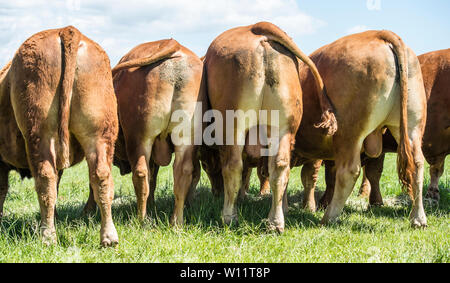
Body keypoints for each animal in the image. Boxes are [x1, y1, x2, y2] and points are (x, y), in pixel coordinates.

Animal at [0, 26, 119, 246]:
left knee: (45, 180)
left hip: (40, 134)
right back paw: (109, 238)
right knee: (101, 177)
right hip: (99, 134)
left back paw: (48, 236)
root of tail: (65, 31)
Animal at [84, 38, 204, 226]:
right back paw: (176, 221)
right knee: (182, 173)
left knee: (140, 174)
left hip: (139, 139)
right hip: (185, 138)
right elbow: (153, 179)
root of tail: (174, 45)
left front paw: (88, 209)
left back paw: (141, 218)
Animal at [202, 21, 336, 232]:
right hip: (283, 128)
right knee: (279, 168)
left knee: (233, 166)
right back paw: (275, 222)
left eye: (206, 165)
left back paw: (229, 217)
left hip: (233, 126)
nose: (216, 192)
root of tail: (257, 27)